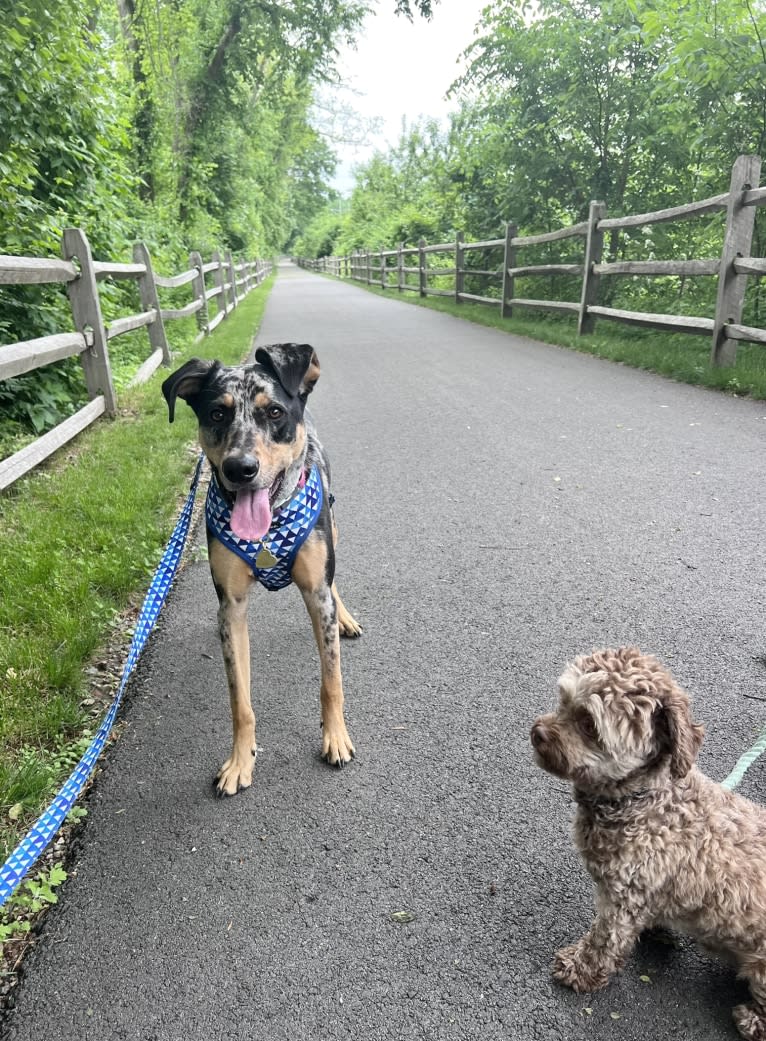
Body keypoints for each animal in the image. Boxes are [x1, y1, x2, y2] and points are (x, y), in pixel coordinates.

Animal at [532, 649, 766, 1041]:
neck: (645, 800)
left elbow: (603, 941)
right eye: (563, 700)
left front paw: (579, 969)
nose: (537, 734)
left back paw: (752, 1020)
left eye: (588, 724)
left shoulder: (623, 896)